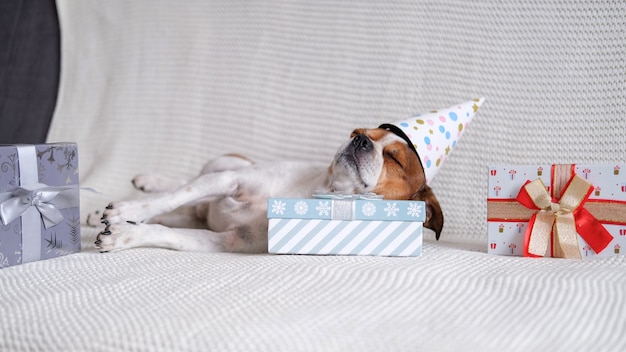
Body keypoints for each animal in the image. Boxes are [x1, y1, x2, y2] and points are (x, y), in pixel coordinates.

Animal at [92, 126, 444, 253]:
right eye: (357, 131)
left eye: (394, 159)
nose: (360, 140)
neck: (318, 190)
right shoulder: (228, 180)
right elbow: (174, 196)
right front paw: (128, 210)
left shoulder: (227, 241)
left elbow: (170, 233)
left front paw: (126, 232)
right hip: (224, 163)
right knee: (186, 189)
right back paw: (144, 185)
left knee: (187, 216)